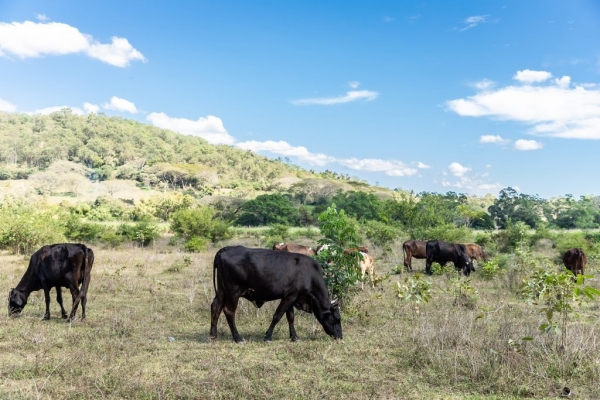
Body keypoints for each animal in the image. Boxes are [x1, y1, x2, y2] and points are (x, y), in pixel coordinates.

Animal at [210, 245, 342, 342]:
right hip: (233, 292)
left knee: (216, 307)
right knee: (229, 311)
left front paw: (294, 337)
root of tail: (226, 249)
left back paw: (213, 334)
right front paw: (268, 337)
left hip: (222, 291)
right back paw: (238, 338)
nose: (340, 336)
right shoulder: (290, 296)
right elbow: (277, 316)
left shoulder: (291, 297)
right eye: (336, 319)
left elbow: (290, 317)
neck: (309, 274)